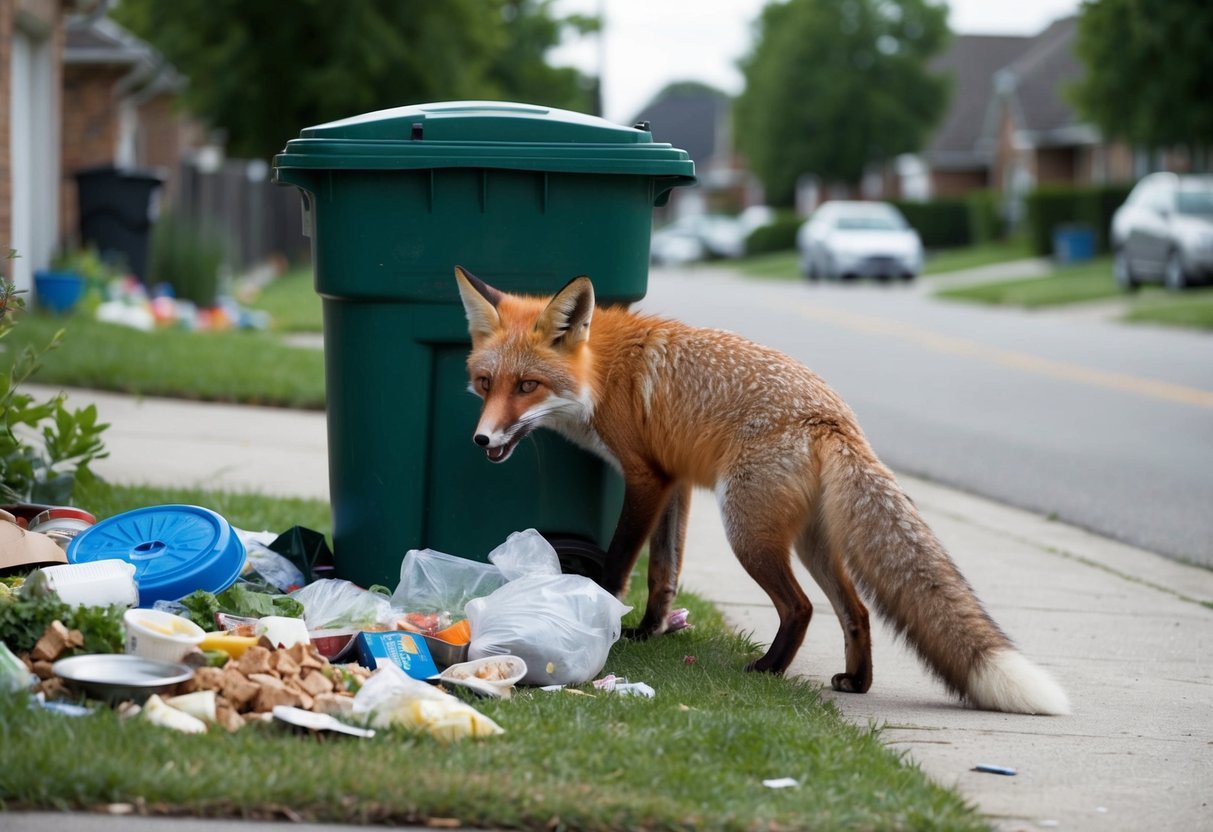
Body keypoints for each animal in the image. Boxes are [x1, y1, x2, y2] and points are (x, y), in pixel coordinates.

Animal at [454, 265, 1070, 715]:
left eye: (527, 386)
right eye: (486, 383)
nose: (480, 439)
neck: (604, 374)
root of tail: (835, 417)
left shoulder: (647, 478)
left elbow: (621, 563)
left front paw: (599, 616)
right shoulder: (676, 481)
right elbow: (664, 574)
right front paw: (650, 631)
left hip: (747, 531)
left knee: (800, 607)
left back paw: (769, 671)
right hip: (812, 543)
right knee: (855, 610)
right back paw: (856, 681)